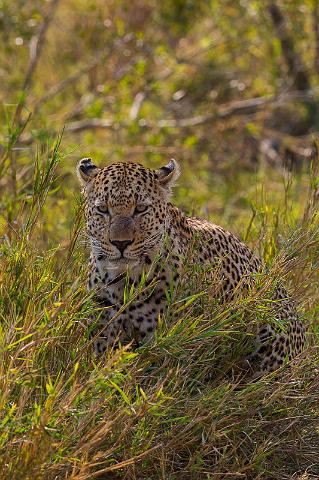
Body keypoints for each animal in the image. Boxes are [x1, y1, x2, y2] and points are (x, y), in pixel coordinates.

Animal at [77, 158, 308, 376]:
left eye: (140, 209)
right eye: (103, 209)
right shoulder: (102, 335)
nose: (121, 243)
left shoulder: (166, 347)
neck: (124, 284)